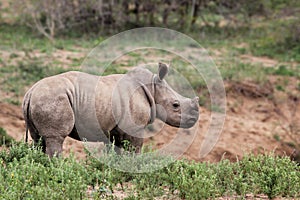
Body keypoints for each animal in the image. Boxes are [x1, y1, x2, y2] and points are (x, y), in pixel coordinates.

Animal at [22, 62, 199, 156]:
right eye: (175, 105)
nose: (194, 119)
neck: (152, 88)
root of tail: (30, 92)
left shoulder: (115, 128)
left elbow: (116, 150)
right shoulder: (134, 127)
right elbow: (136, 149)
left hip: (41, 100)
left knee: (38, 139)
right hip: (52, 99)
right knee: (55, 138)